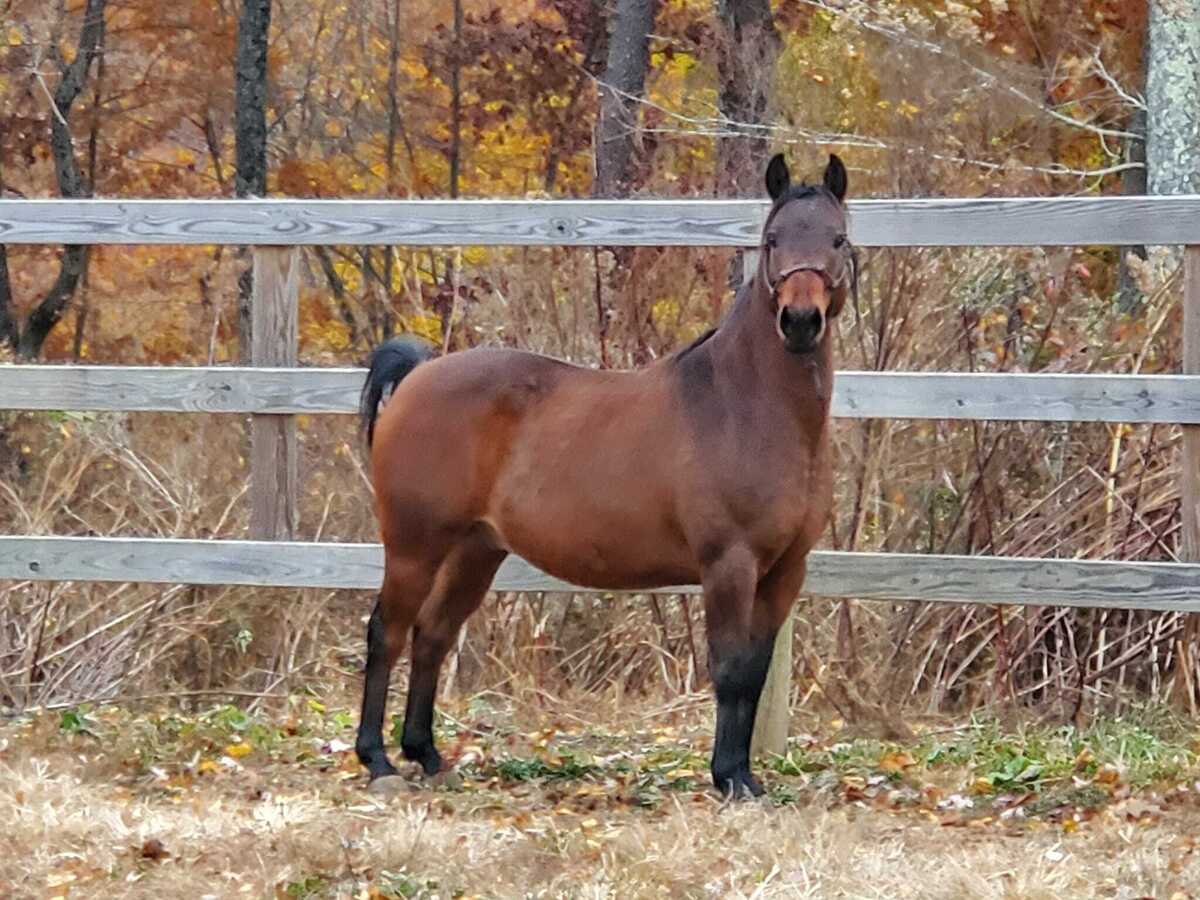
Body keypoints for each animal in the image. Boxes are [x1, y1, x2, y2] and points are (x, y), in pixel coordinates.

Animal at [354, 153, 853, 798]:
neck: (745, 404)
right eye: (772, 241)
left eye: (837, 239)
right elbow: (728, 670)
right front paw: (727, 776)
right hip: (415, 547)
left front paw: (745, 776)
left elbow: (754, 672)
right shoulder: (729, 564)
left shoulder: (785, 573)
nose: (799, 322)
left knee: (433, 633)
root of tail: (418, 374)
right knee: (387, 633)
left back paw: (427, 753)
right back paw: (377, 760)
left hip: (474, 550)